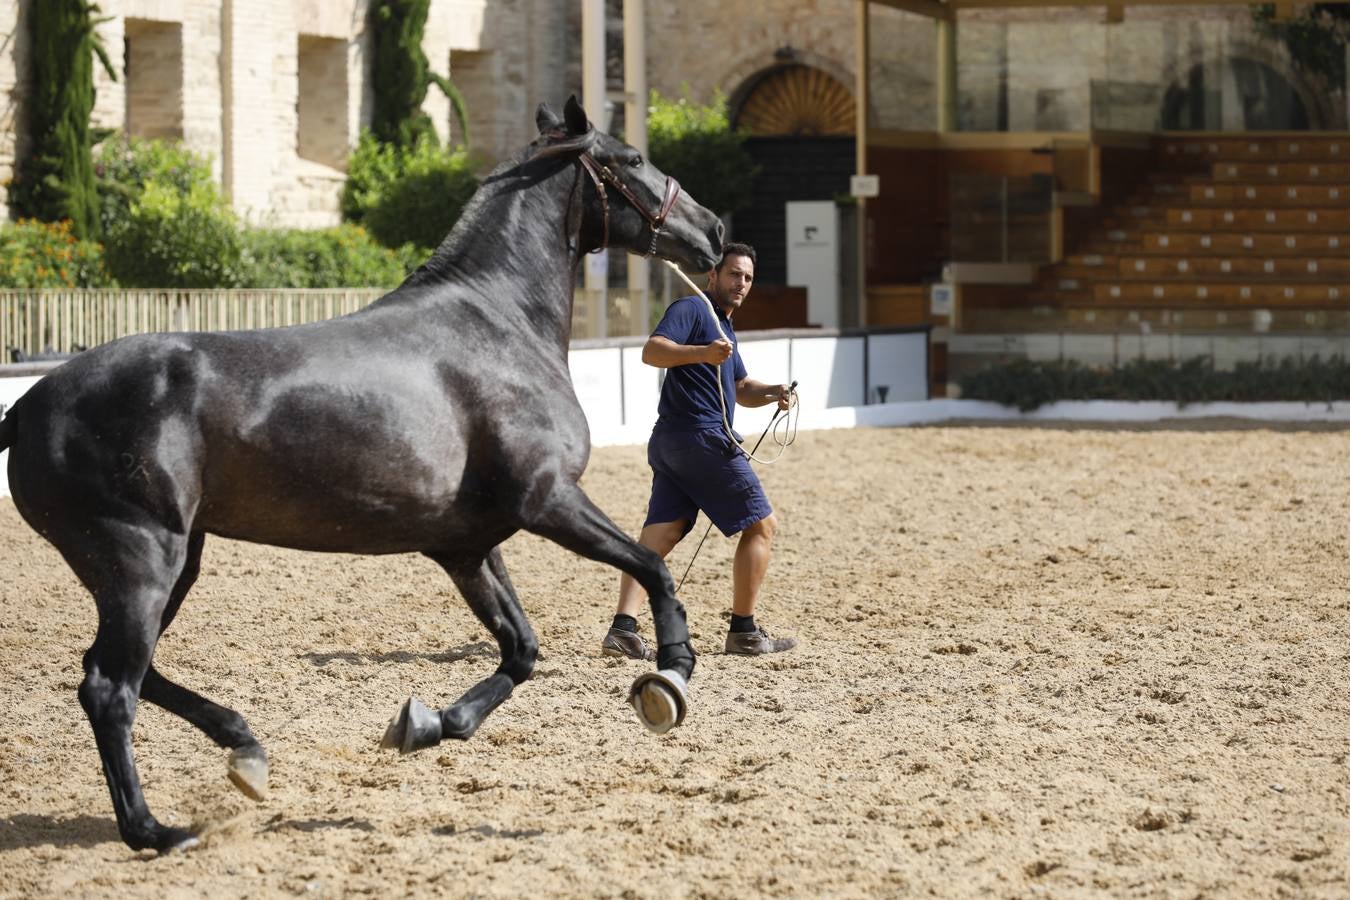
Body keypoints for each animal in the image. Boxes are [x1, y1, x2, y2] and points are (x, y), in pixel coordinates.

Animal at [0, 97, 723, 852]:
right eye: (631, 158)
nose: (715, 233)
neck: (499, 326)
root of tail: (26, 407)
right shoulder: (550, 501)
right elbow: (653, 569)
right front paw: (671, 676)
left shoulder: (466, 546)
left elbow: (521, 649)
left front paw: (426, 724)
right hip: (141, 561)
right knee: (111, 687)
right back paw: (154, 829)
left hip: (174, 564)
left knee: (120, 674)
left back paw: (244, 750)